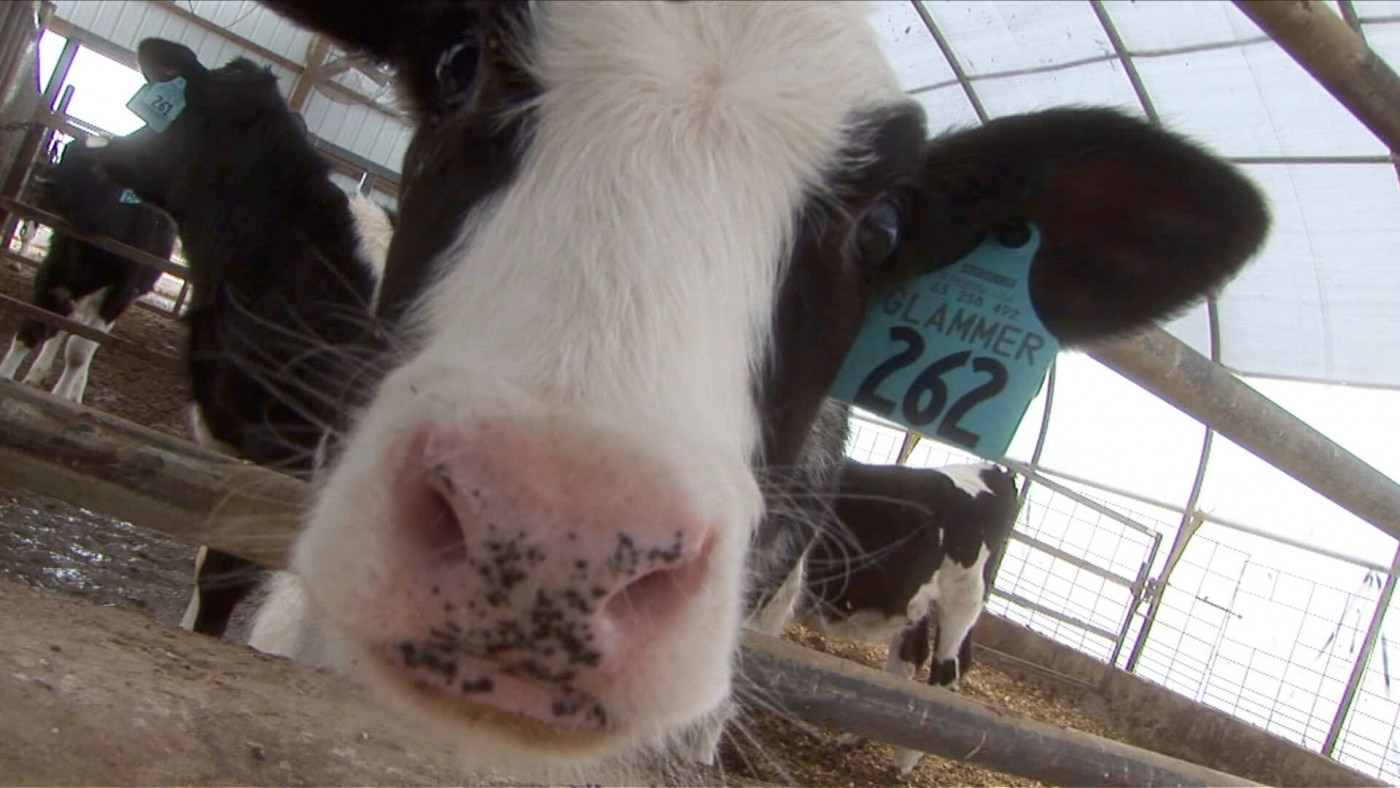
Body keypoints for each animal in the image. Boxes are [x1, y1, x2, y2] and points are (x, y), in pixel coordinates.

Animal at [0, 137, 177, 403]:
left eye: (99, 168)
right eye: (66, 153)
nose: (42, 181)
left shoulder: (118, 296)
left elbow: (79, 352)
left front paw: (63, 397)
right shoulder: (51, 275)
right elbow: (30, 330)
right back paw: (37, 373)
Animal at [800, 459, 1019, 772]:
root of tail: (994, 470)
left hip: (962, 601)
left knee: (944, 674)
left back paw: (904, 762)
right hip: (916, 604)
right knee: (907, 664)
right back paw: (856, 737)